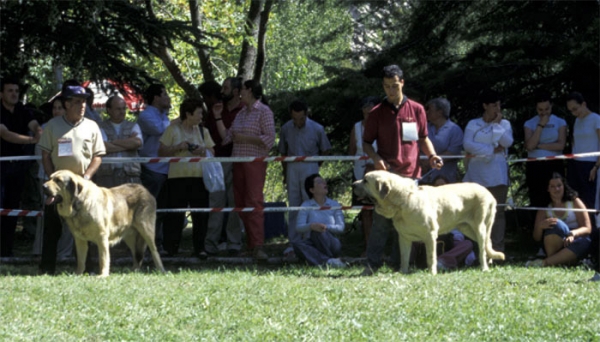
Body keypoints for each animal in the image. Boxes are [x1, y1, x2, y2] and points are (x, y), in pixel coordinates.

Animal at [354, 171, 504, 276]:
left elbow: (431, 257)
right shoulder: (404, 238)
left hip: (479, 227)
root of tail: (488, 192)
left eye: (366, 181)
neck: (403, 200)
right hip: (468, 229)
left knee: (482, 249)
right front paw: (403, 272)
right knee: (487, 244)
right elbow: (404, 257)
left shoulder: (430, 235)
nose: (353, 185)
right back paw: (490, 261)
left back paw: (484, 267)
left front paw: (432, 272)